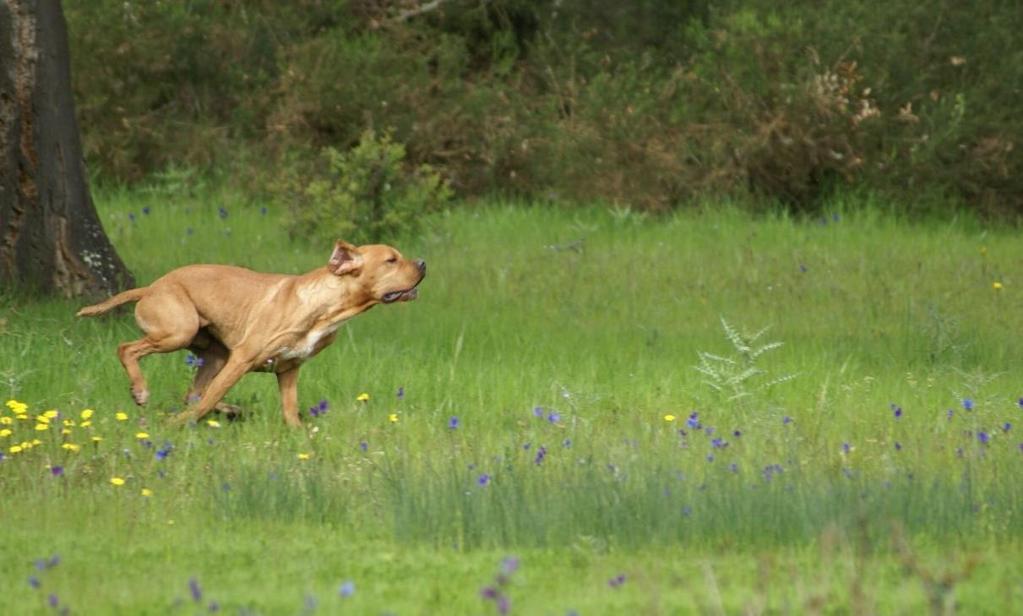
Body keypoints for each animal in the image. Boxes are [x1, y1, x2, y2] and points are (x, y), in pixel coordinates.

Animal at [76, 241, 423, 427]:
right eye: (391, 259)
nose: (422, 262)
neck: (325, 308)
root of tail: (151, 287)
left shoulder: (288, 370)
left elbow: (289, 411)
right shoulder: (242, 359)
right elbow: (210, 399)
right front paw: (176, 425)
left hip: (215, 355)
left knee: (193, 393)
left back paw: (232, 411)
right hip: (179, 332)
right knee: (127, 349)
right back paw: (141, 391)